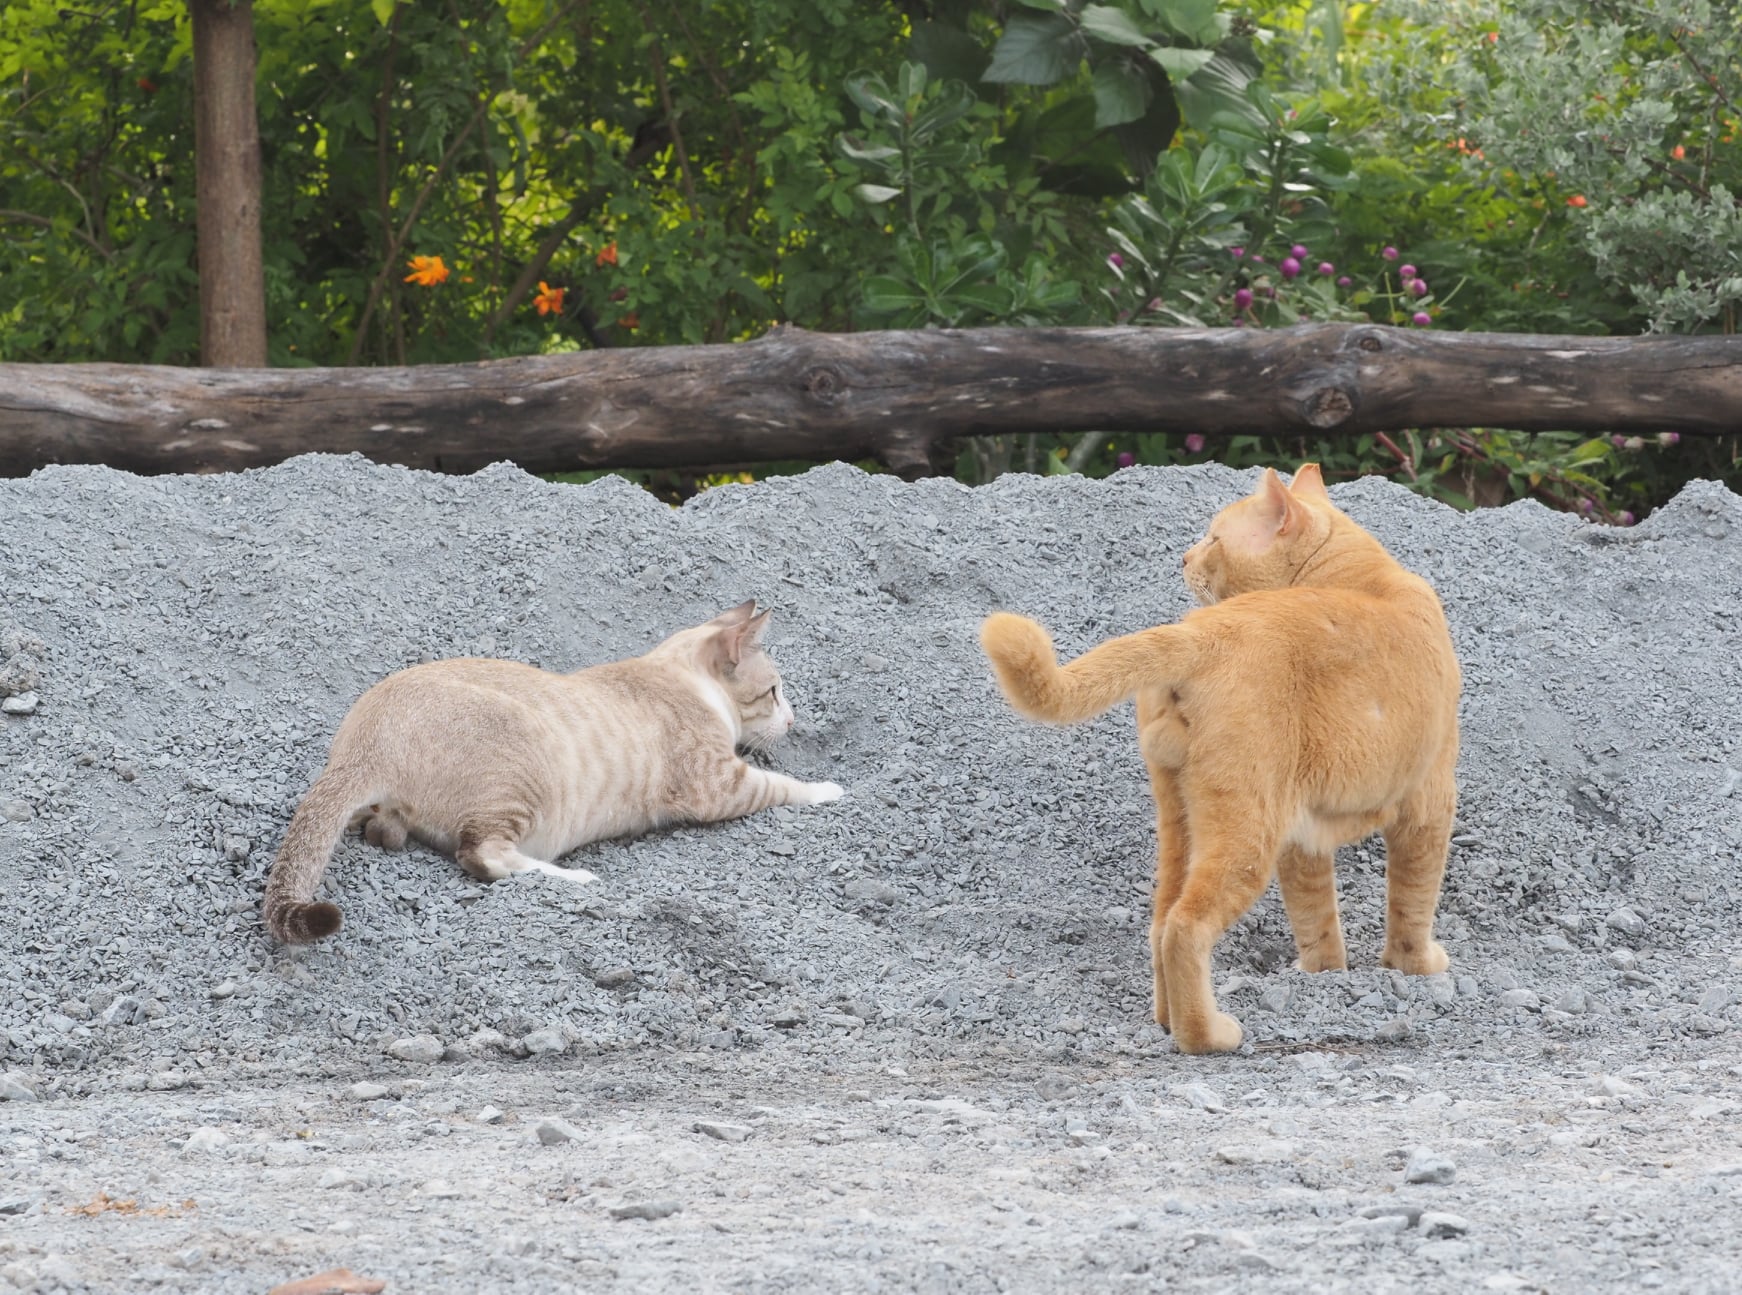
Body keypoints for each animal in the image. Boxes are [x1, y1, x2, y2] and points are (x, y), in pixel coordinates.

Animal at [264, 601, 843, 944]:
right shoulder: (719, 784)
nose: (792, 719)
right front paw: (829, 789)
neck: (676, 673)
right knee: (482, 853)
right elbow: (782, 786)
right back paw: (577, 878)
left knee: (390, 831)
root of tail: (364, 738)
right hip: (521, 778)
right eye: (774, 692)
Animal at [980, 465, 1461, 1054]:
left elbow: (1315, 916)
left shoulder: (1303, 836)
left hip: (1182, 819)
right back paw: (1207, 1035)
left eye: (1213, 539)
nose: (1183, 557)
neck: (1361, 575)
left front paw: (1326, 975)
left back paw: (1169, 1021)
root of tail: (1197, 632)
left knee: (1161, 921)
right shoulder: (1428, 804)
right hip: (1245, 833)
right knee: (1186, 928)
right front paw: (1415, 967)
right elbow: (1413, 900)